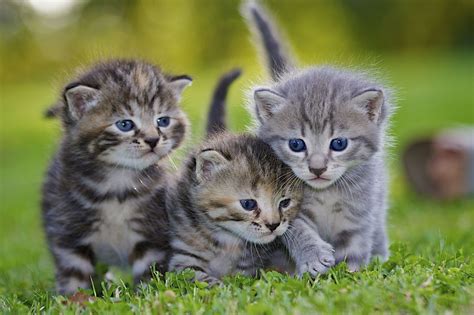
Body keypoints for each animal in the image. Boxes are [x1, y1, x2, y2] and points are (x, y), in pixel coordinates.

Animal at [41, 59, 193, 296]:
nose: (153, 140)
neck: (118, 181)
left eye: (163, 121)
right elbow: (74, 276)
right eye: (125, 124)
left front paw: (146, 296)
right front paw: (75, 299)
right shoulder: (68, 233)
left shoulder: (151, 232)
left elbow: (149, 271)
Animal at [241, 1, 392, 276]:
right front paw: (313, 258)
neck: (327, 194)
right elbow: (296, 229)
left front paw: (351, 270)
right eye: (296, 144)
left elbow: (356, 241)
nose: (317, 168)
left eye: (339, 144)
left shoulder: (360, 210)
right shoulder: (283, 205)